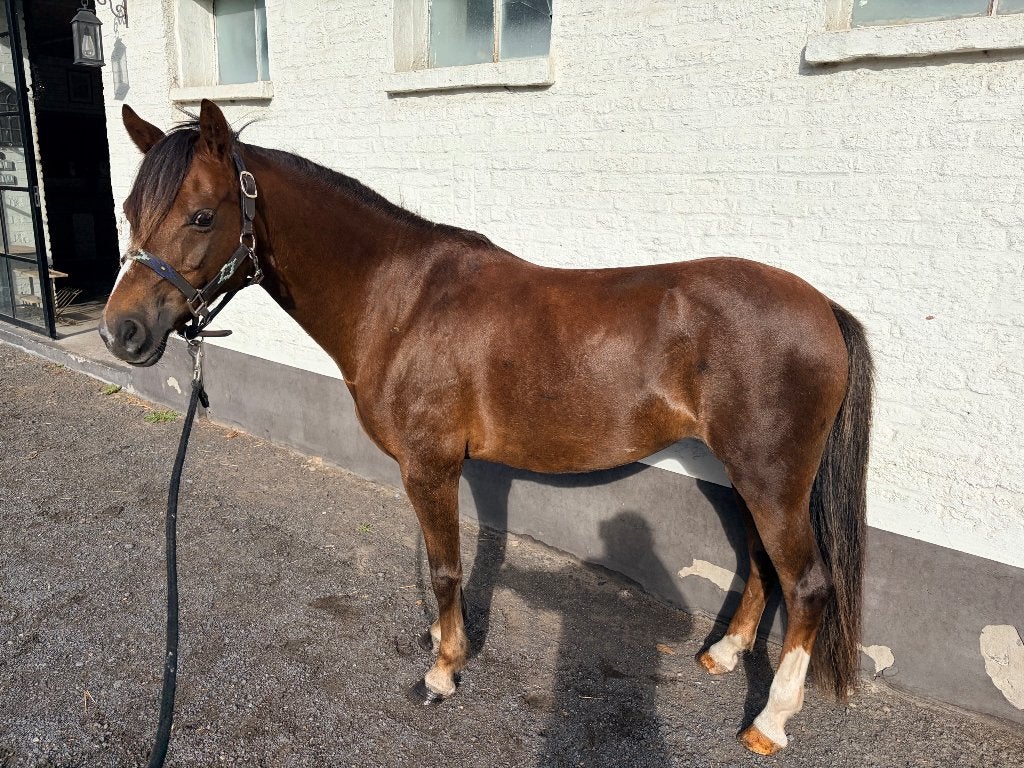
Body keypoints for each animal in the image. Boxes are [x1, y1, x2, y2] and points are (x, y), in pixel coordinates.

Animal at [101, 100, 873, 756]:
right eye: (130, 209)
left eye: (203, 216)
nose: (122, 332)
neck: (402, 301)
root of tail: (823, 307)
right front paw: (441, 638)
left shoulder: (431, 466)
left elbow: (446, 565)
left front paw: (444, 669)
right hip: (750, 477)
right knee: (763, 566)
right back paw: (724, 654)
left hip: (770, 478)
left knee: (807, 583)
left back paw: (770, 719)